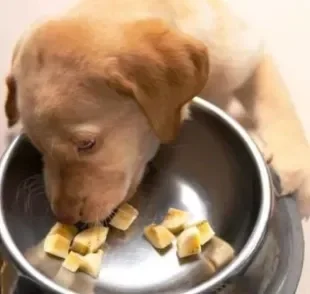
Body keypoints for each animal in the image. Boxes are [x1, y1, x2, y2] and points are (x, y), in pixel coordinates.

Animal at [4, 0, 310, 223]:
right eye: (38, 146)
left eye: (87, 144)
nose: (66, 219)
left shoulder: (247, 55)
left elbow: (276, 101)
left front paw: (293, 166)